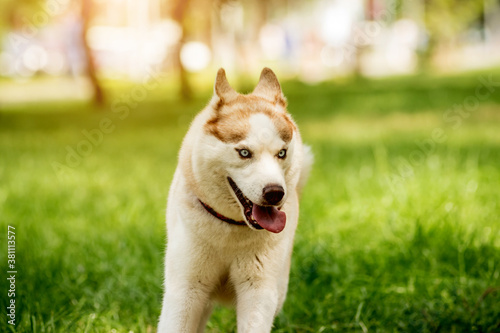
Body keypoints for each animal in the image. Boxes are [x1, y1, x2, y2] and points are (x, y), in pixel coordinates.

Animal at [158, 68, 312, 332]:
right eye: (244, 152)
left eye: (281, 153)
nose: (275, 193)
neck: (230, 230)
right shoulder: (186, 288)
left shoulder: (258, 289)